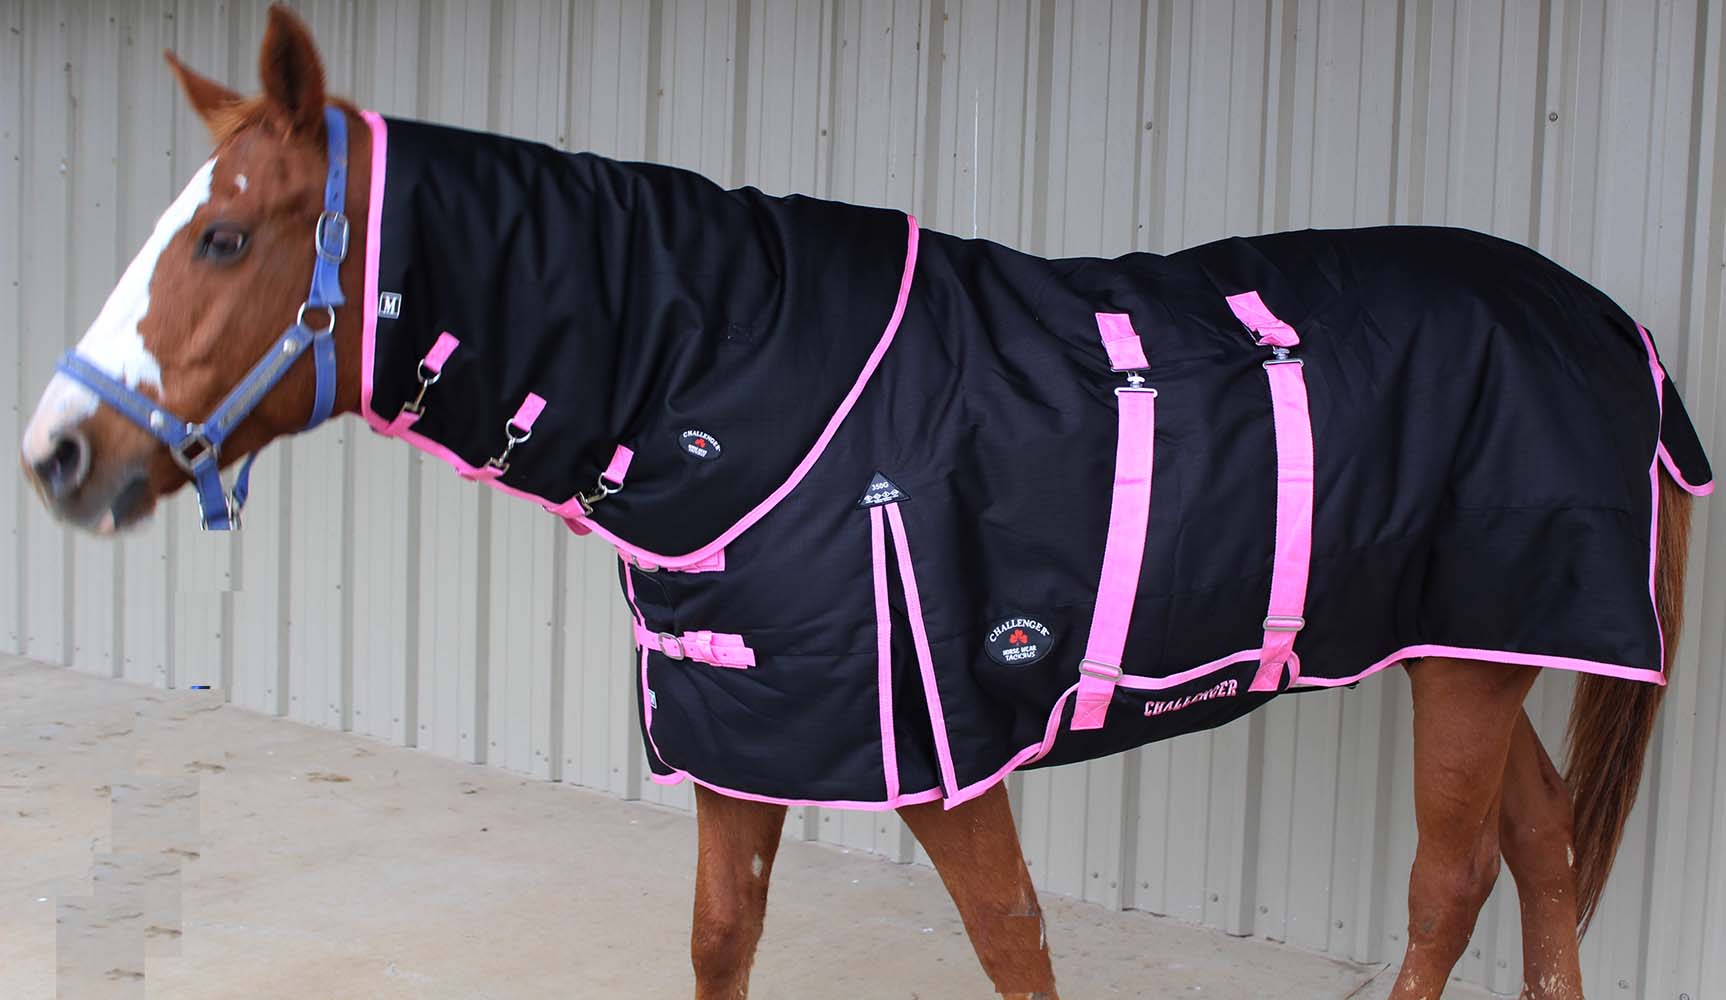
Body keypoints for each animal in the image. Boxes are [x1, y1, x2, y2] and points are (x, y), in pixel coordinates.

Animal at [19, 7, 1711, 999]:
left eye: (225, 237)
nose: (56, 456)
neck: (732, 366)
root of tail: (1607, 324)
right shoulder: (746, 731)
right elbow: (720, 940)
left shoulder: (940, 754)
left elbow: (1013, 947)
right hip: (1470, 647)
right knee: (1541, 855)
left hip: (1471, 658)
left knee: (1447, 886)